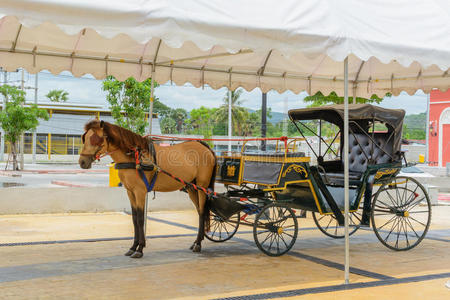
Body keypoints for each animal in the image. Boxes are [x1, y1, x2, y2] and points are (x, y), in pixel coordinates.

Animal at [79, 119, 216, 258]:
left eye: (96, 139)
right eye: (85, 138)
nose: (82, 162)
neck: (134, 157)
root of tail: (205, 147)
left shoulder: (140, 192)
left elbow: (140, 219)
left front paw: (139, 249)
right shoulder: (130, 192)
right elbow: (134, 218)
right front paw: (133, 247)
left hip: (202, 187)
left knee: (202, 212)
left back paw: (198, 244)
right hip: (192, 188)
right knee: (199, 211)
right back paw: (196, 242)